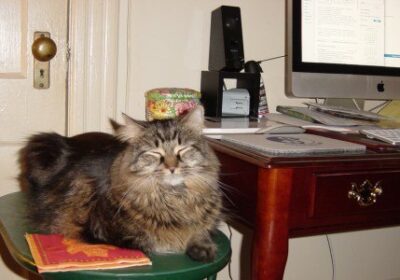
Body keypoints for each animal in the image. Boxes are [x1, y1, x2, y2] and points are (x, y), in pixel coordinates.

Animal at [18, 106, 223, 262]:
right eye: (154, 153)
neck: (175, 198)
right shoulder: (106, 229)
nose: (172, 167)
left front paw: (203, 246)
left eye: (183, 149)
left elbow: (202, 231)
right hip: (43, 145)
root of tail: (67, 139)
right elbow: (155, 239)